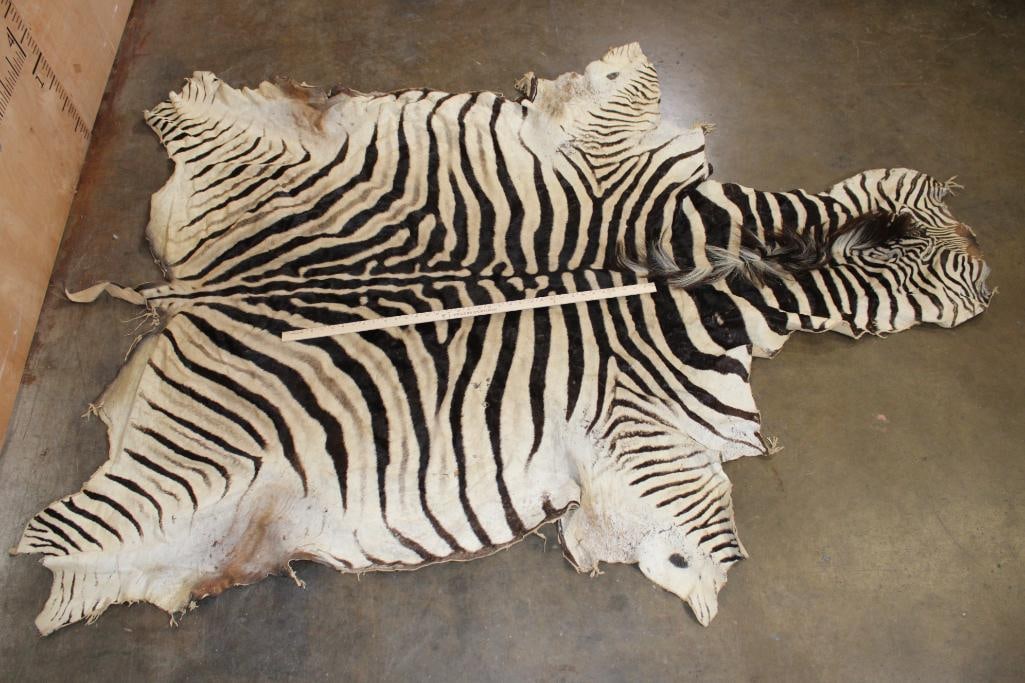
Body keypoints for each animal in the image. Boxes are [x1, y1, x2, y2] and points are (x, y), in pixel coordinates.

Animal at [15, 44, 990, 634]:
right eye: (956, 260)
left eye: (943, 230)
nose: (991, 265)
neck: (709, 271)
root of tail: (187, 290)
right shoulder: (653, 438)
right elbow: (707, 544)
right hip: (180, 494)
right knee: (74, 542)